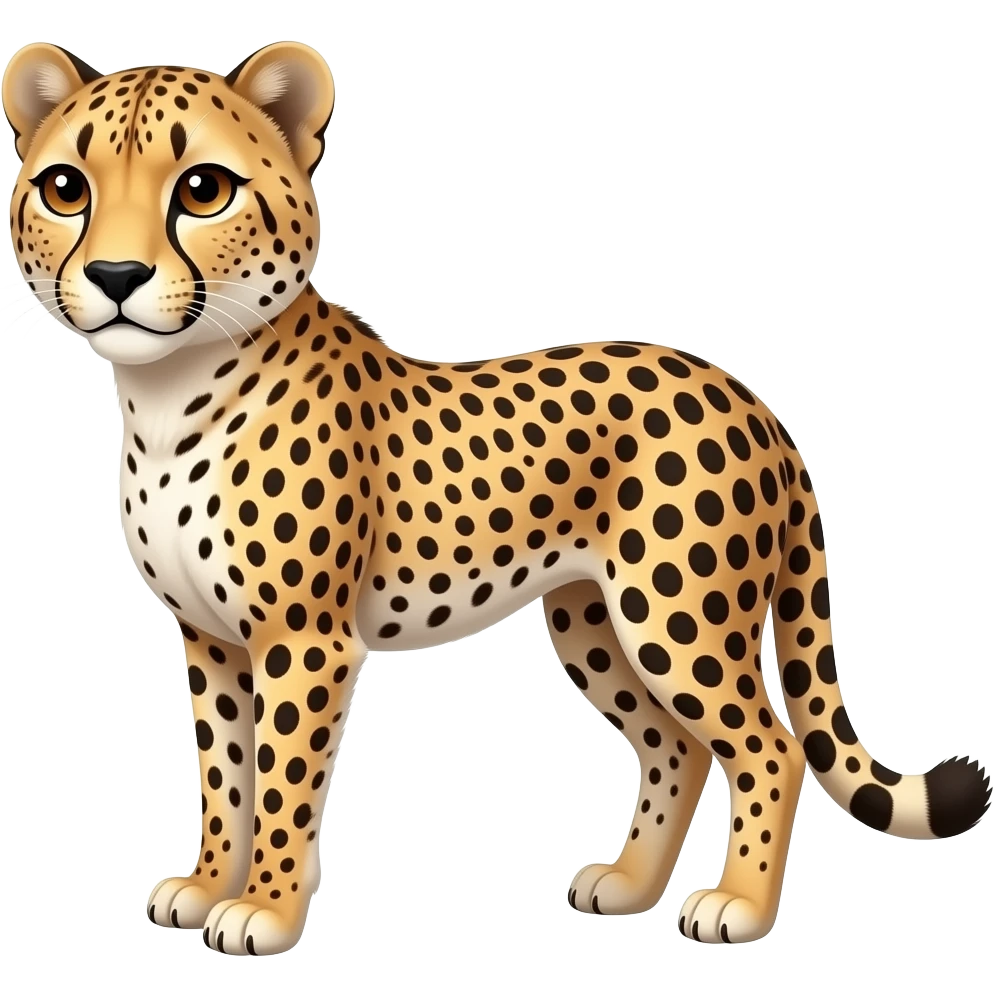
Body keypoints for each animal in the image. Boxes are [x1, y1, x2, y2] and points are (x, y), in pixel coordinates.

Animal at [3, 40, 991, 956]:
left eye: (203, 190)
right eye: (65, 188)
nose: (117, 278)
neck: (171, 392)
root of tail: (748, 398)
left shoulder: (302, 641)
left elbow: (281, 784)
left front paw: (265, 911)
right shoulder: (210, 639)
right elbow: (225, 775)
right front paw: (208, 885)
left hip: (676, 619)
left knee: (768, 747)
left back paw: (737, 906)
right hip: (594, 619)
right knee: (677, 745)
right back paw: (629, 884)